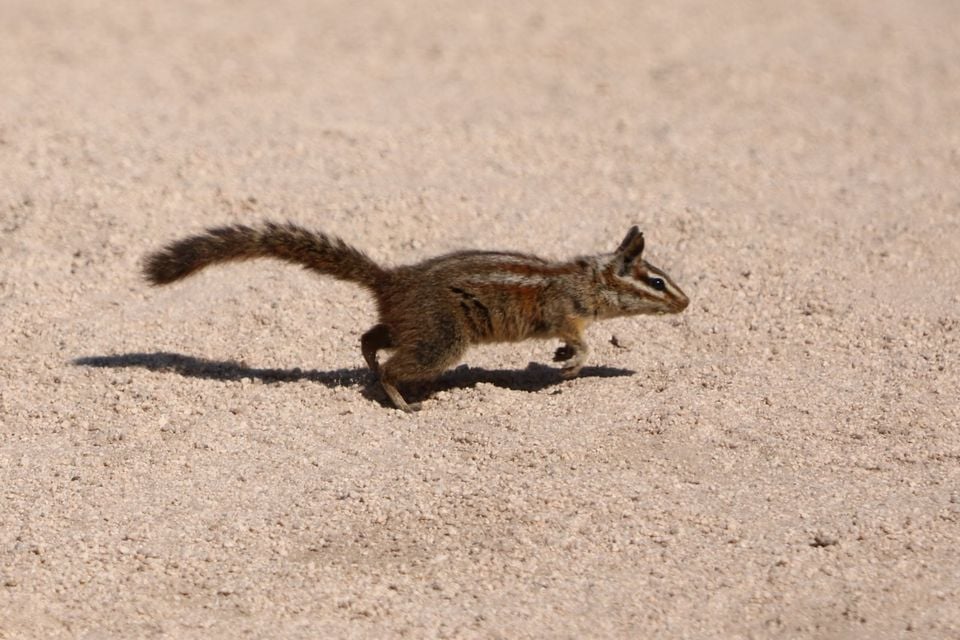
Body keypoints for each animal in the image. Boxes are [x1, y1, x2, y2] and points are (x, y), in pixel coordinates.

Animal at [143, 222, 689, 411]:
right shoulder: (565, 312)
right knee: (391, 362)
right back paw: (401, 400)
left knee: (370, 337)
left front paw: (560, 358)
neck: (587, 280)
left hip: (415, 327)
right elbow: (581, 341)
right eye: (657, 282)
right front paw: (572, 362)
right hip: (441, 340)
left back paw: (373, 369)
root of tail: (391, 280)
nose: (687, 303)